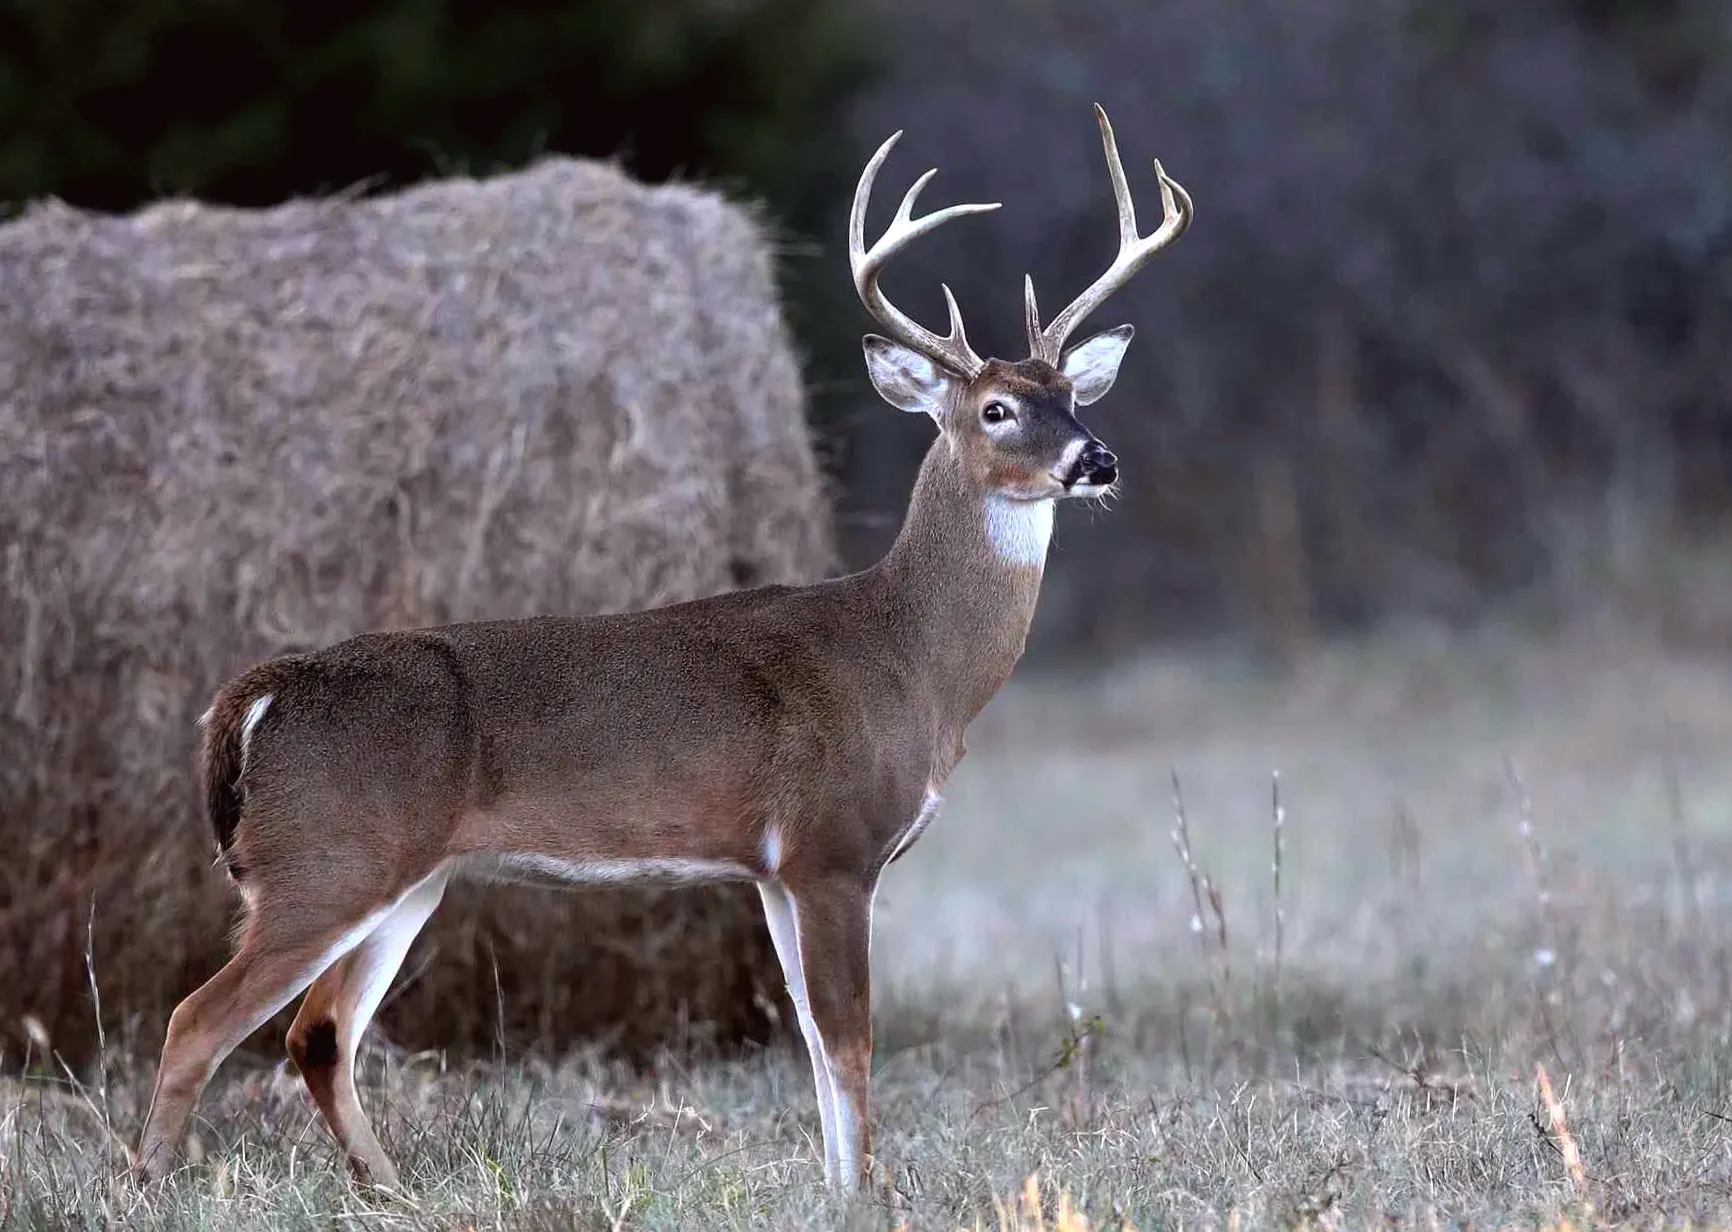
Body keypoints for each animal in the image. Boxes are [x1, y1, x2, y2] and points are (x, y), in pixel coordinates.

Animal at [132, 103, 1192, 1197]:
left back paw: (390, 1187)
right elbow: (849, 1036)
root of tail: (261, 692)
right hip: (325, 860)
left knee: (319, 1032)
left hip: (401, 875)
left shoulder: (773, 868)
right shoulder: (830, 844)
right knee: (198, 1018)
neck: (912, 663)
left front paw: (836, 1186)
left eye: (1072, 394)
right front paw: (865, 1192)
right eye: (995, 408)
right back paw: (151, 1183)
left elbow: (813, 1039)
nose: (1095, 458)